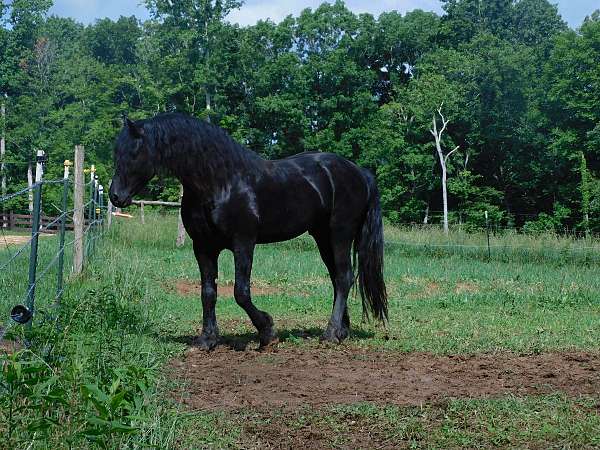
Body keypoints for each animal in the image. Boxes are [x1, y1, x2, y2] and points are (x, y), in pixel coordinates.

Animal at [109, 113, 386, 352]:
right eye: (116, 151)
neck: (220, 182)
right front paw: (206, 339)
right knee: (337, 278)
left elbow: (241, 292)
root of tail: (360, 173)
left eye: (134, 152)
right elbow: (208, 292)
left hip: (340, 233)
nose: (115, 196)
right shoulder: (203, 247)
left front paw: (267, 333)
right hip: (322, 237)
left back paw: (330, 334)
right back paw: (341, 331)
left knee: (344, 277)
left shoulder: (243, 243)